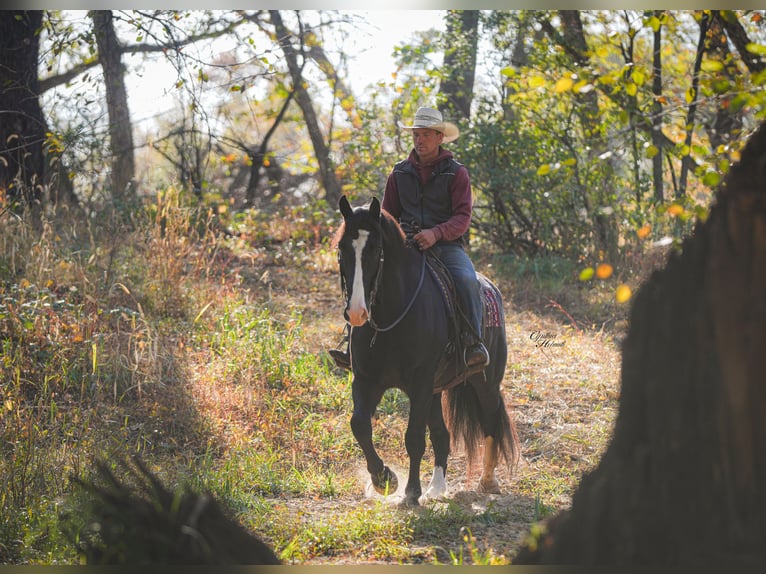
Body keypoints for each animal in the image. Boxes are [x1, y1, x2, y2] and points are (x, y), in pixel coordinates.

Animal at [335, 195, 519, 506]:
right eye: (341, 248)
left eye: (375, 249)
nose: (358, 313)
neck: (392, 317)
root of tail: (492, 289)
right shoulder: (366, 381)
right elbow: (359, 424)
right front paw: (384, 479)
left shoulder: (419, 383)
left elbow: (414, 438)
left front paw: (410, 493)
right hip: (435, 390)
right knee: (442, 435)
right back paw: (436, 487)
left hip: (485, 382)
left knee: (491, 421)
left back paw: (487, 482)